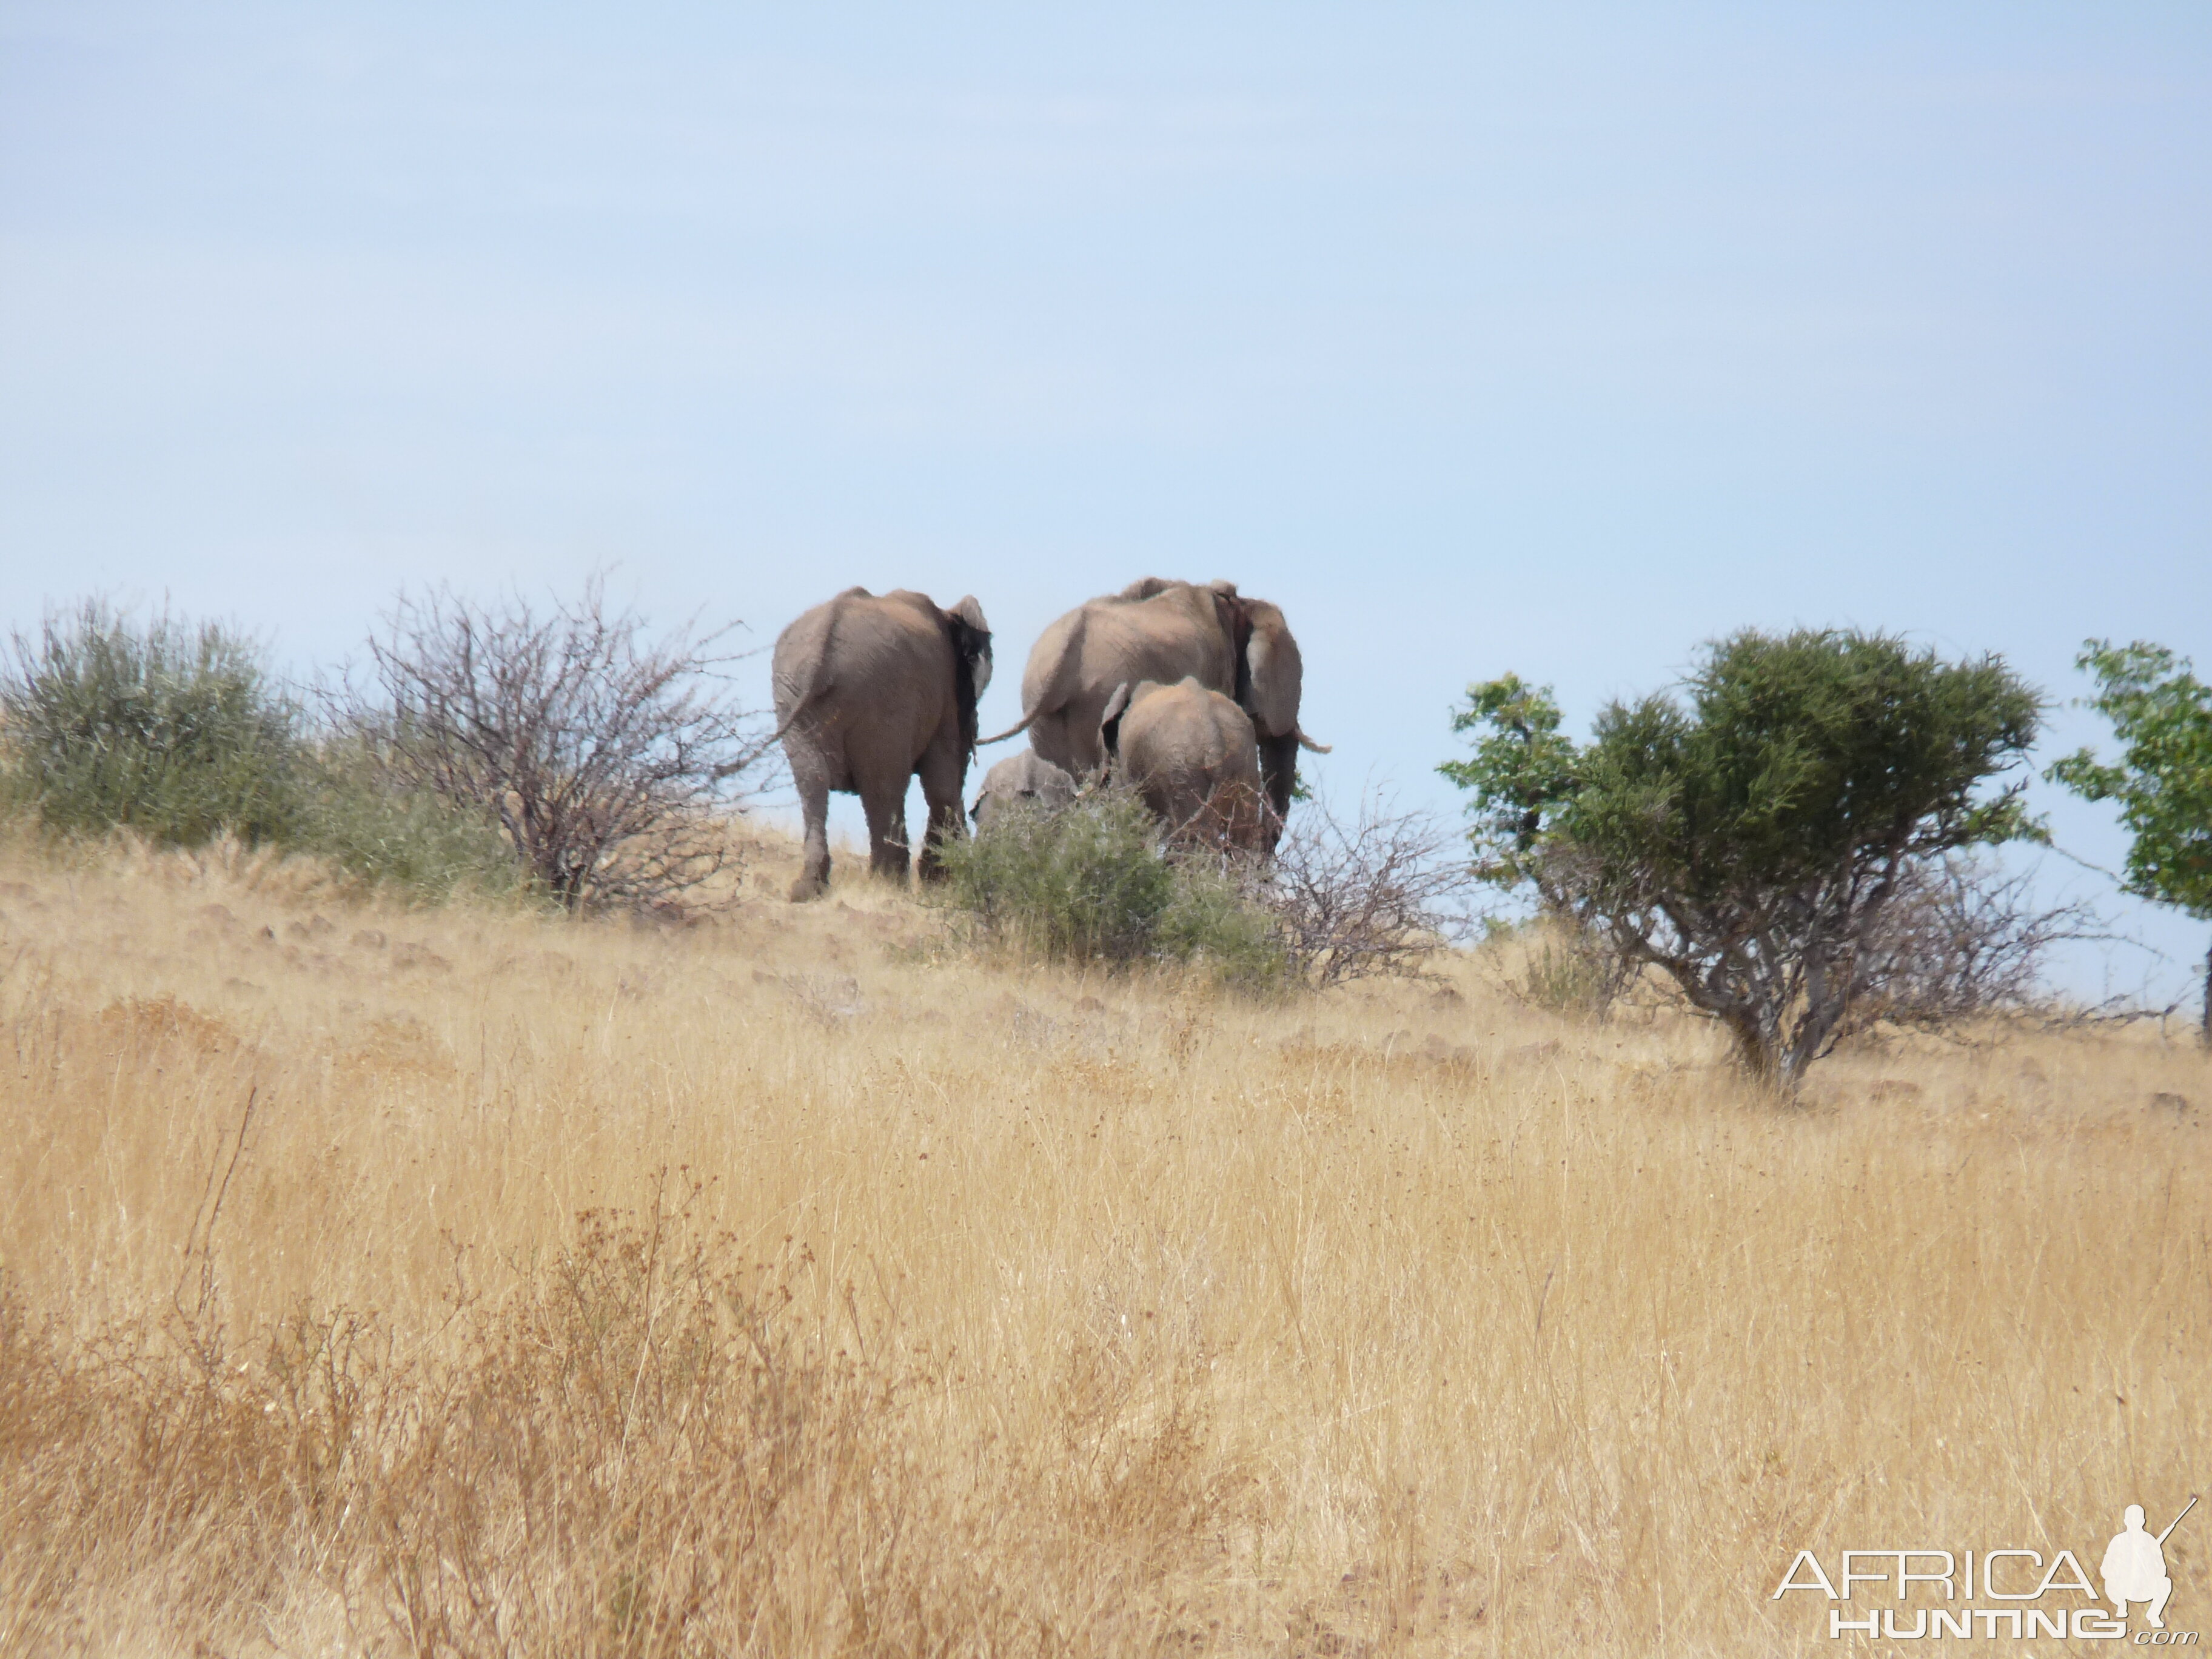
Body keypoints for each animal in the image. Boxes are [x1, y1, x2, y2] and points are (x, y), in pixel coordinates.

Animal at [774, 588, 991, 902]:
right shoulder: (947, 695)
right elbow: (942, 782)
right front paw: (940, 884)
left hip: (794, 697)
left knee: (811, 781)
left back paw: (807, 890)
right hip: (885, 697)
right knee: (884, 785)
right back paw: (889, 884)